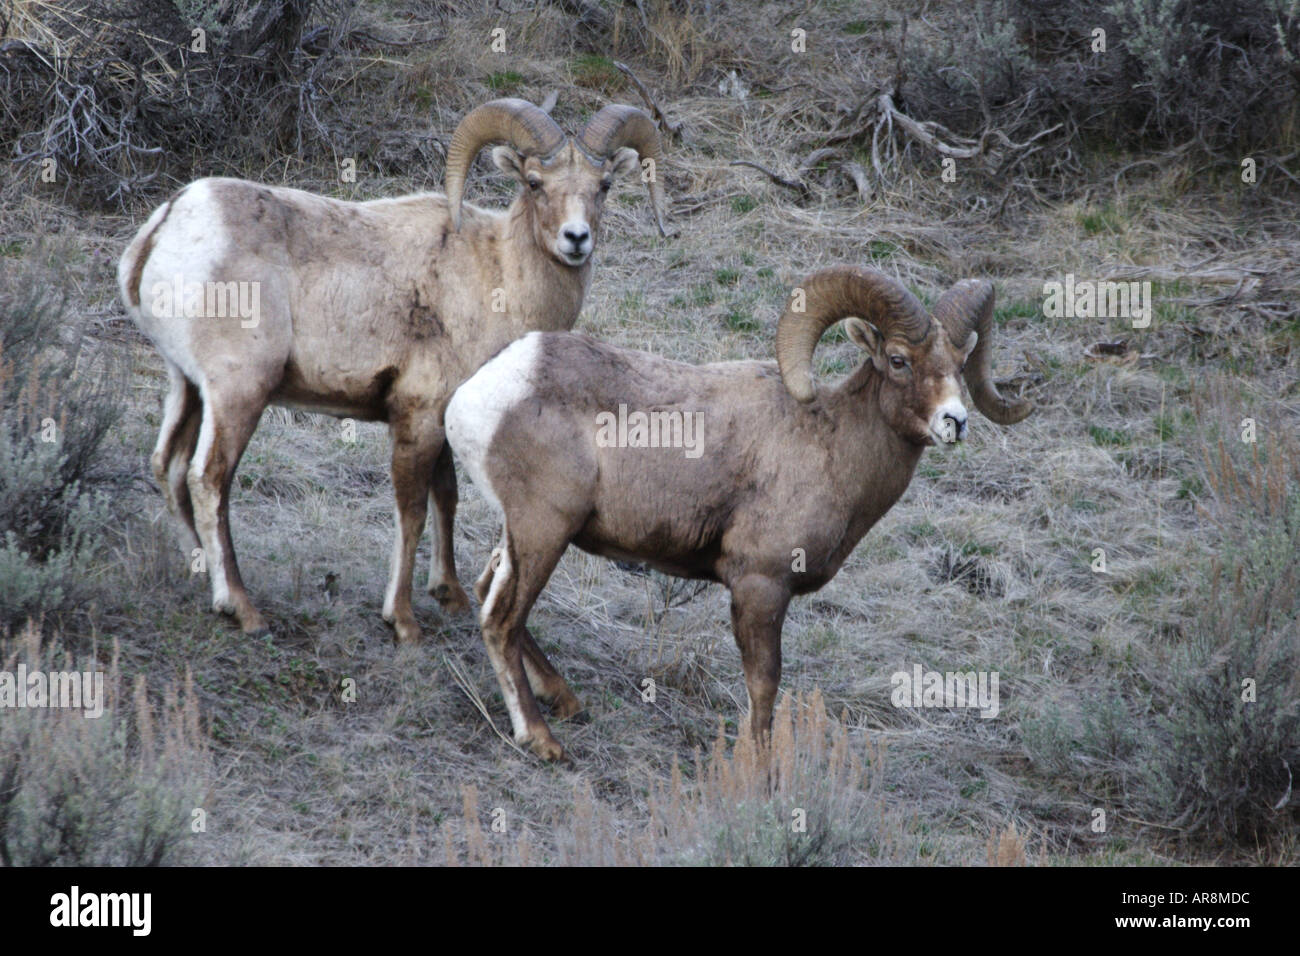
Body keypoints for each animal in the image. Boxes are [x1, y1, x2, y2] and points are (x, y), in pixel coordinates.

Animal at [116, 97, 668, 643]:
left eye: (604, 186)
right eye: (534, 182)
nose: (576, 239)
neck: (498, 277)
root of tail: (167, 227)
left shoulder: (440, 423)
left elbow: (447, 497)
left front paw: (450, 596)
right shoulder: (416, 418)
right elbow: (413, 512)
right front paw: (402, 621)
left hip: (187, 386)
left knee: (167, 464)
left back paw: (199, 577)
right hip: (237, 394)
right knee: (208, 478)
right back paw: (242, 608)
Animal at [444, 266, 1033, 761]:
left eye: (960, 365)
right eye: (898, 360)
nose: (954, 421)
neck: (830, 443)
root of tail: (476, 395)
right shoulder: (760, 586)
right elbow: (763, 685)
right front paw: (758, 766)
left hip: (523, 535)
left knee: (490, 593)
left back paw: (565, 701)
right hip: (544, 530)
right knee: (502, 618)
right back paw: (543, 741)